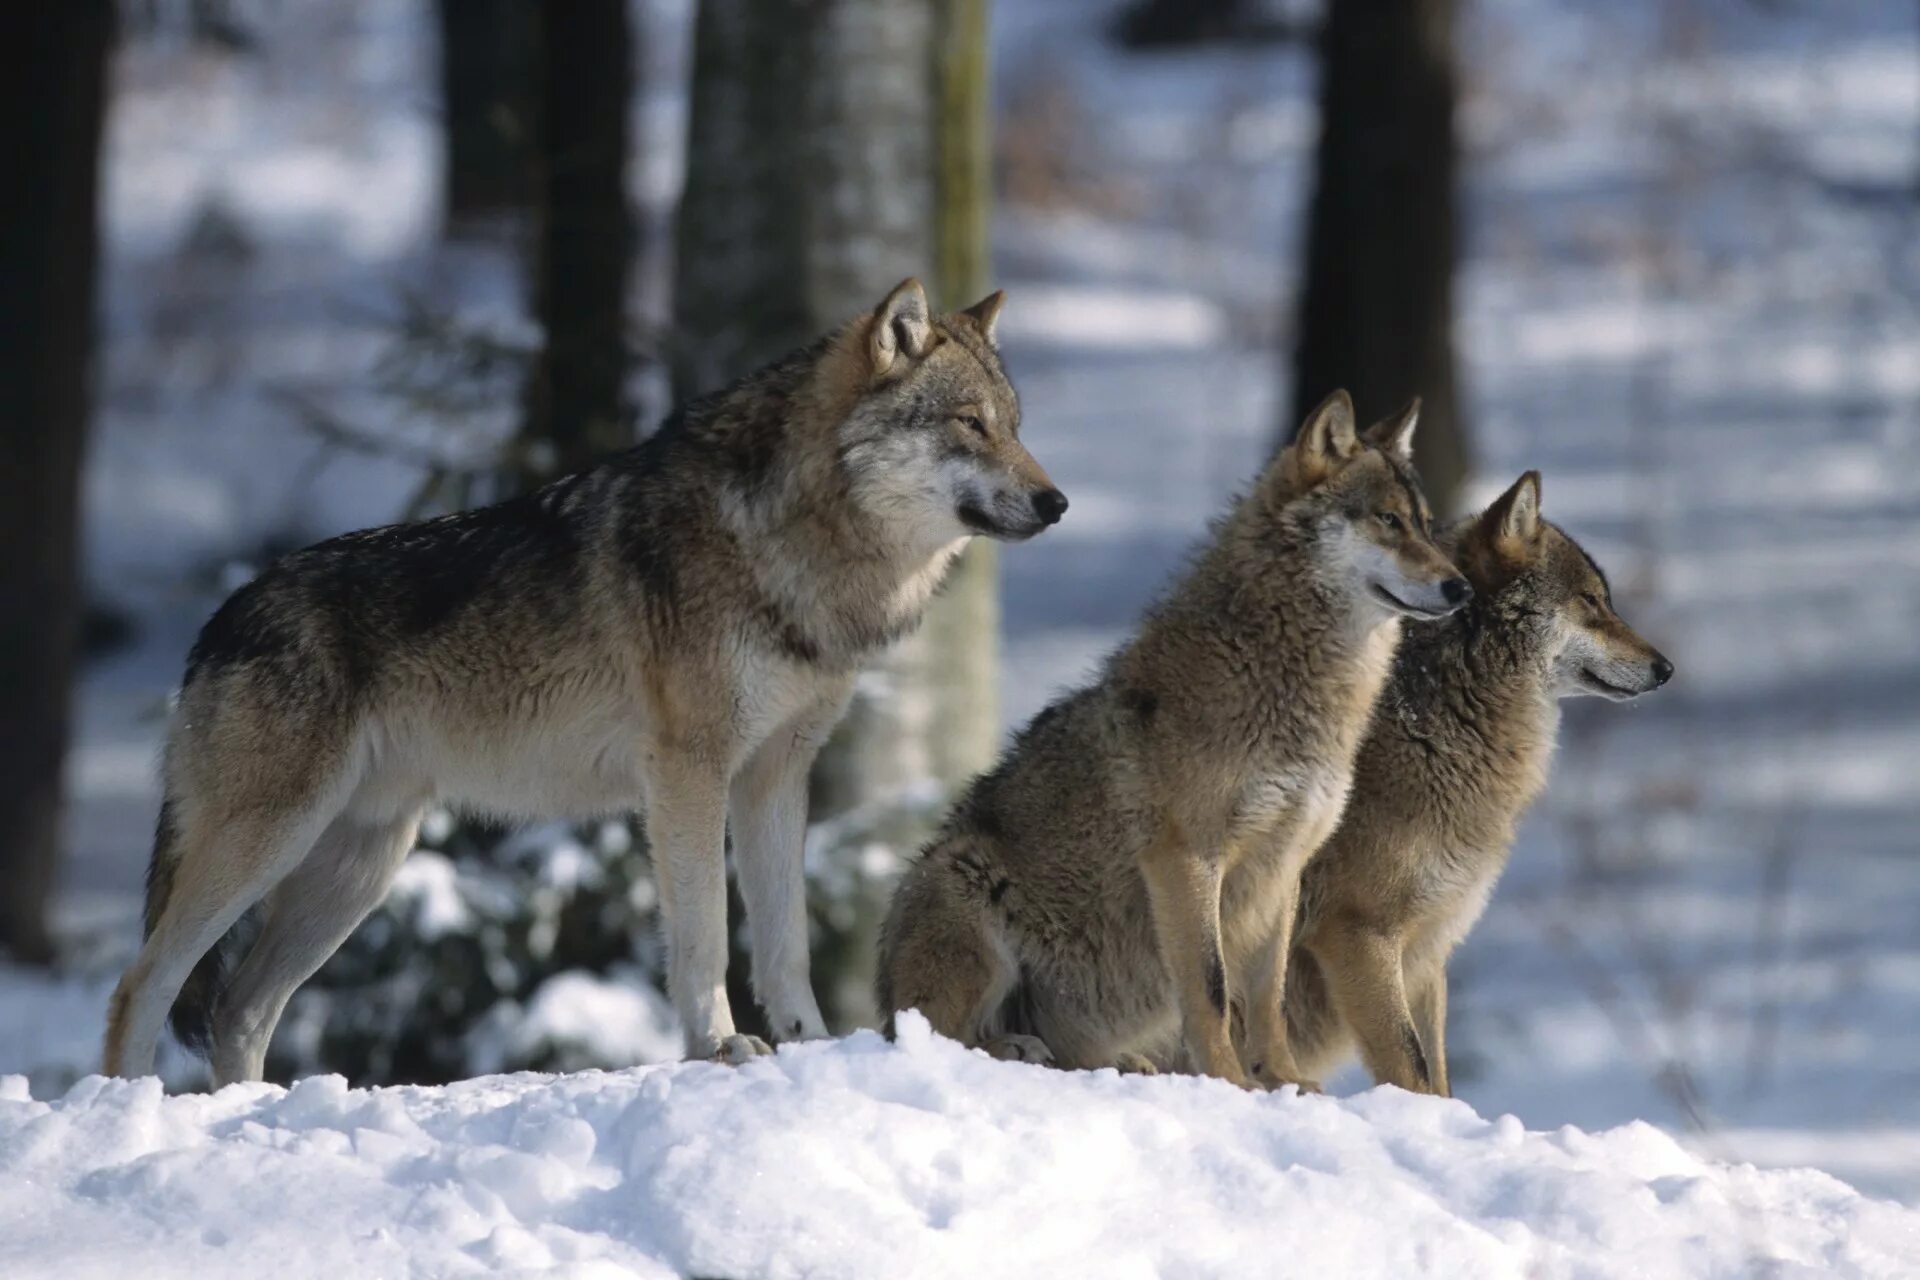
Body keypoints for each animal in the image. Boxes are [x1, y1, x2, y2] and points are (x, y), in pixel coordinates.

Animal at [105, 278, 1067, 1082]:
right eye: (970, 425)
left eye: (1018, 425)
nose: (1056, 503)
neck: (785, 547)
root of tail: (218, 621)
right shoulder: (689, 773)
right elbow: (707, 937)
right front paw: (720, 1047)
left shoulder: (774, 776)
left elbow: (785, 940)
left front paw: (810, 1044)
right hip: (270, 844)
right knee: (141, 988)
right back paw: (133, 1116)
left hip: (356, 870)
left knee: (240, 1010)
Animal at [879, 393, 1474, 1090]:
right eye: (1387, 520)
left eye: (1426, 525)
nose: (1462, 588)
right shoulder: (1187, 856)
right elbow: (1212, 991)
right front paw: (1231, 1082)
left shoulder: (1283, 868)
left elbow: (1266, 996)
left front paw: (1285, 1083)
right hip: (962, 877)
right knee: (940, 1036)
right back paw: (1021, 1048)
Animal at [1282, 475, 1674, 1097]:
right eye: (1590, 601)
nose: (1666, 669)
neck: (1437, 724)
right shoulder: (1358, 936)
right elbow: (1411, 1070)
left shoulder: (1427, 949)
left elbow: (1438, 1077)